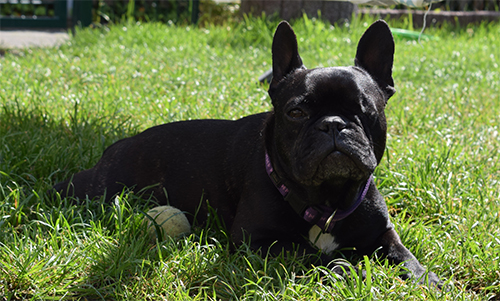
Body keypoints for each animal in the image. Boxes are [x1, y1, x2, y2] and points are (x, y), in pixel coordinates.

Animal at [52, 20, 440, 284]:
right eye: (296, 112)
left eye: (365, 111)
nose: (332, 124)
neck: (327, 199)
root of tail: (117, 145)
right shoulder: (258, 241)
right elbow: (307, 253)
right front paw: (345, 268)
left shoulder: (381, 233)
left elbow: (403, 254)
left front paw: (426, 278)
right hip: (98, 189)